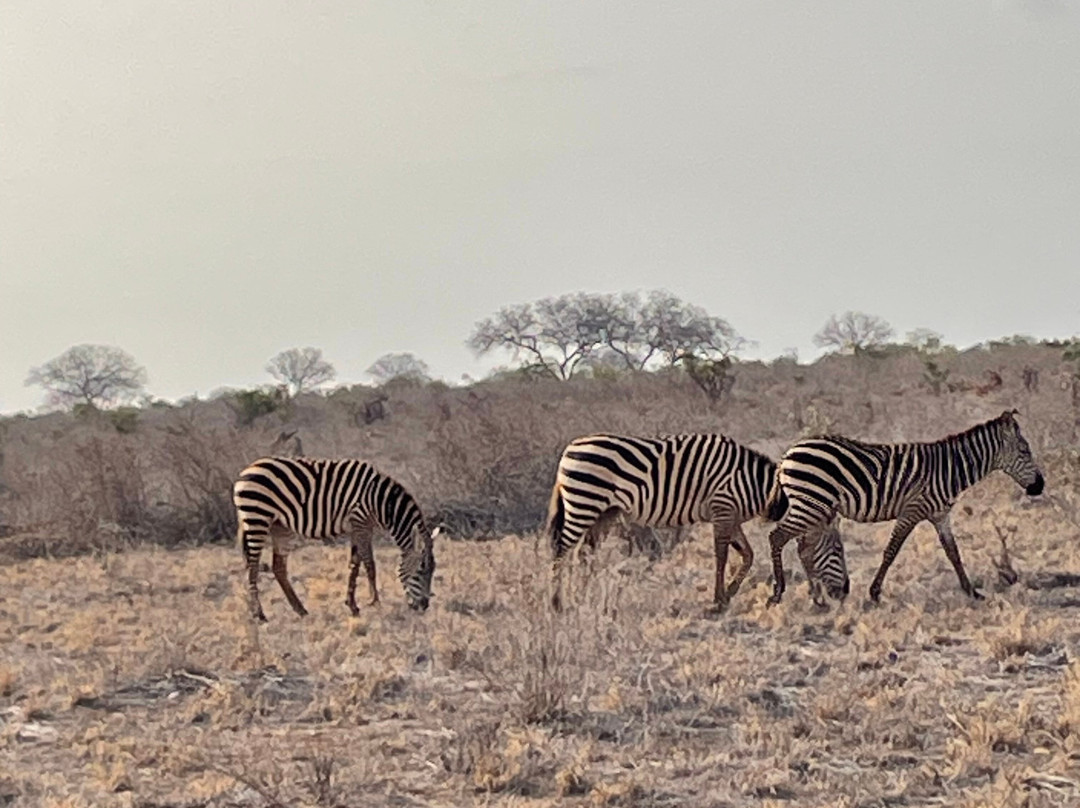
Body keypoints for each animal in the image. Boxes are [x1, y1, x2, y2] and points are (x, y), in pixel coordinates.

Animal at [233, 458, 438, 622]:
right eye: (421, 571)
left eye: (432, 571)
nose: (424, 606)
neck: (381, 502)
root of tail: (247, 469)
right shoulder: (361, 522)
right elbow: (370, 564)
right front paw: (375, 602)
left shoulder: (357, 527)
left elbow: (354, 565)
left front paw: (353, 606)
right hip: (257, 518)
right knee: (252, 566)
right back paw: (259, 615)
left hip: (279, 526)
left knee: (278, 568)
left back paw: (301, 610)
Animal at [548, 432, 851, 609]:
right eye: (838, 550)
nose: (844, 592)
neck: (761, 487)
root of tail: (570, 447)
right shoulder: (723, 508)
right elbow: (722, 555)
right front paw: (718, 599)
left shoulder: (732, 516)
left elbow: (747, 555)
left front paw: (730, 593)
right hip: (584, 502)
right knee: (561, 548)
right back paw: (557, 603)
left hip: (603, 512)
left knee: (584, 552)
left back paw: (585, 597)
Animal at [764, 410, 1041, 604]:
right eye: (1025, 451)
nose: (1040, 486)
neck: (951, 469)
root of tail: (789, 452)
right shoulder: (913, 509)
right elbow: (891, 550)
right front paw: (874, 593)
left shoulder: (940, 515)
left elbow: (953, 553)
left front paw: (971, 592)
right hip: (810, 503)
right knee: (778, 537)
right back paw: (779, 593)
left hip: (813, 506)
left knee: (802, 546)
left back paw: (817, 596)